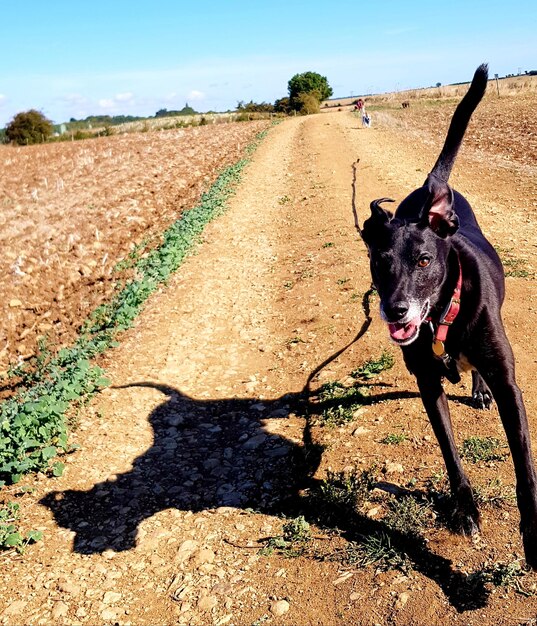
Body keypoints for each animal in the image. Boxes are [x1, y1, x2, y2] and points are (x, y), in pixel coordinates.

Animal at [358, 63, 536, 564]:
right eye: (380, 263)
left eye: (423, 261)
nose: (394, 310)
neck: (441, 319)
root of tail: (428, 192)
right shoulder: (427, 382)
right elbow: (451, 453)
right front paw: (465, 509)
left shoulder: (510, 385)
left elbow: (524, 469)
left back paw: (478, 389)